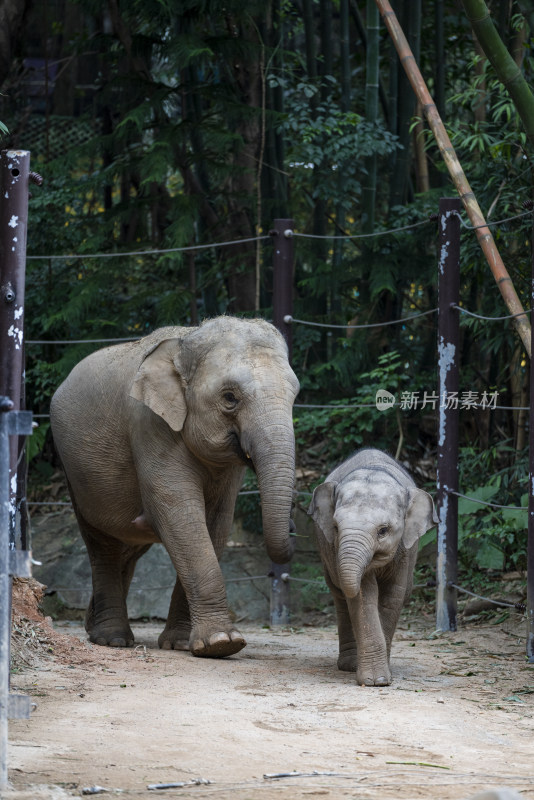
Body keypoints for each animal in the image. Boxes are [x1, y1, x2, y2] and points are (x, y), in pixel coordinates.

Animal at [50, 316, 302, 660]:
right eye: (229, 397)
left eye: (295, 395)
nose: (293, 522)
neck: (186, 341)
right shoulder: (150, 425)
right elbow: (181, 517)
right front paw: (222, 643)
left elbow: (216, 524)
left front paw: (183, 644)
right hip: (75, 475)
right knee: (103, 545)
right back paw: (111, 639)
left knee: (128, 547)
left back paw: (95, 626)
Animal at [310, 446, 440, 684]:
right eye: (335, 527)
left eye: (383, 530)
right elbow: (364, 597)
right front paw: (375, 681)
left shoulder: (406, 551)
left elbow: (392, 597)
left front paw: (380, 679)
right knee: (340, 598)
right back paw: (349, 666)